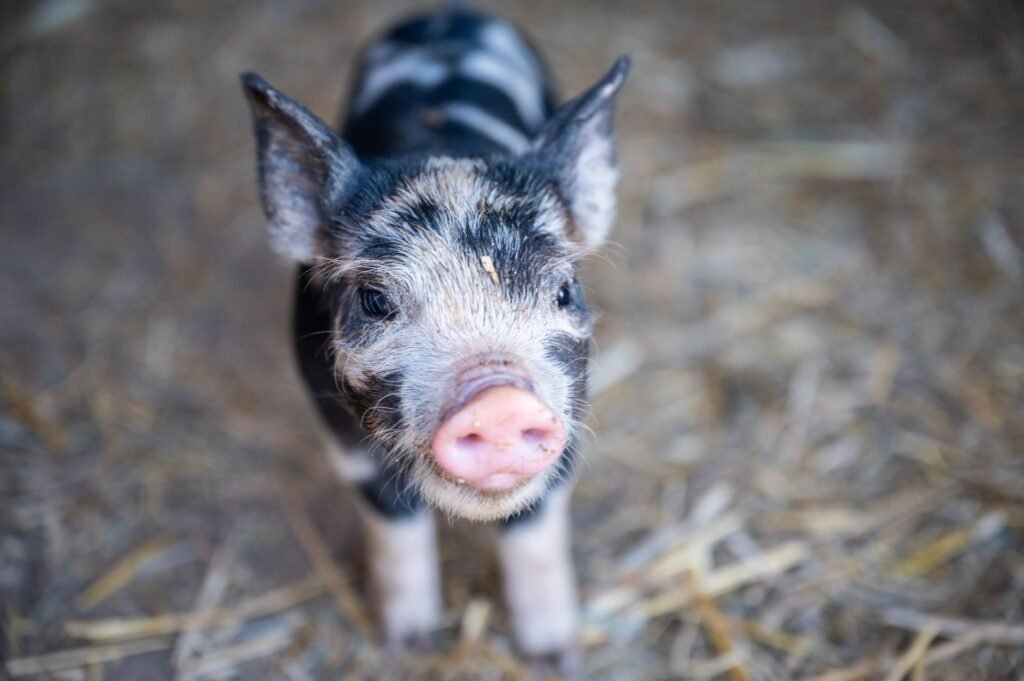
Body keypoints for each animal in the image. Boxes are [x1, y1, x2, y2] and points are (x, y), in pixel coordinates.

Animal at [241, 6, 628, 668]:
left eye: (563, 290)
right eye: (375, 301)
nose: (499, 400)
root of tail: (447, 12)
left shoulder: (573, 414)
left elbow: (536, 530)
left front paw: (555, 659)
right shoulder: (342, 439)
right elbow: (395, 529)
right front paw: (407, 648)